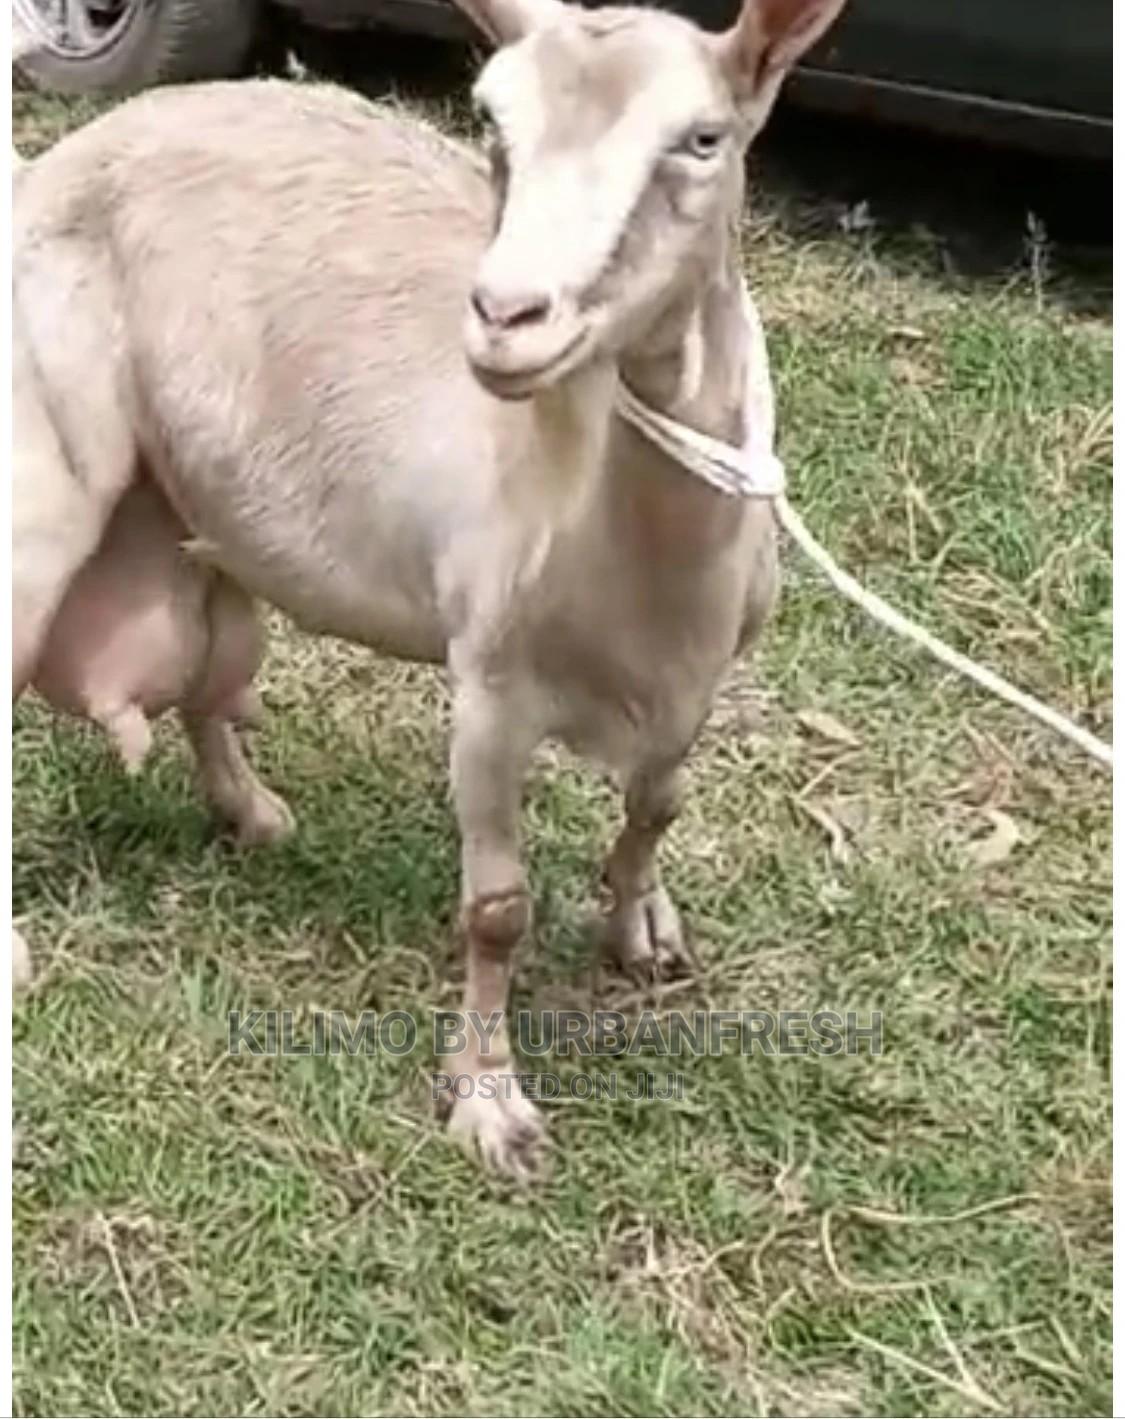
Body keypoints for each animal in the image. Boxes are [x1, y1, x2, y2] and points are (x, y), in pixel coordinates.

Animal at [13, 0, 847, 1174]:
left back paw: (248, 808)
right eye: (492, 124)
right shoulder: (489, 684)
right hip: (44, 469)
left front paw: (640, 926)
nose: (505, 314)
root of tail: (72, 148)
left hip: (191, 498)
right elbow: (497, 908)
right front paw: (490, 1101)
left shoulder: (702, 676)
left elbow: (659, 805)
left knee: (208, 664)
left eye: (702, 139)